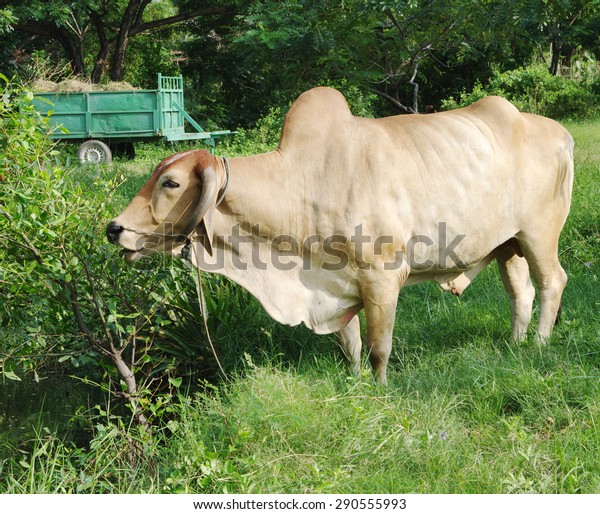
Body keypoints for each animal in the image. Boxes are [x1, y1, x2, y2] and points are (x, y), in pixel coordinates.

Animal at [106, 88, 572, 382]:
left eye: (170, 182)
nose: (114, 229)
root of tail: (558, 131)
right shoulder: (336, 285)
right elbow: (351, 345)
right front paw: (355, 382)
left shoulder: (382, 279)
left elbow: (379, 347)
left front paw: (381, 390)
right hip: (507, 245)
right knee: (520, 293)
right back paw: (514, 345)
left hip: (539, 235)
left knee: (552, 282)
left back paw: (538, 346)